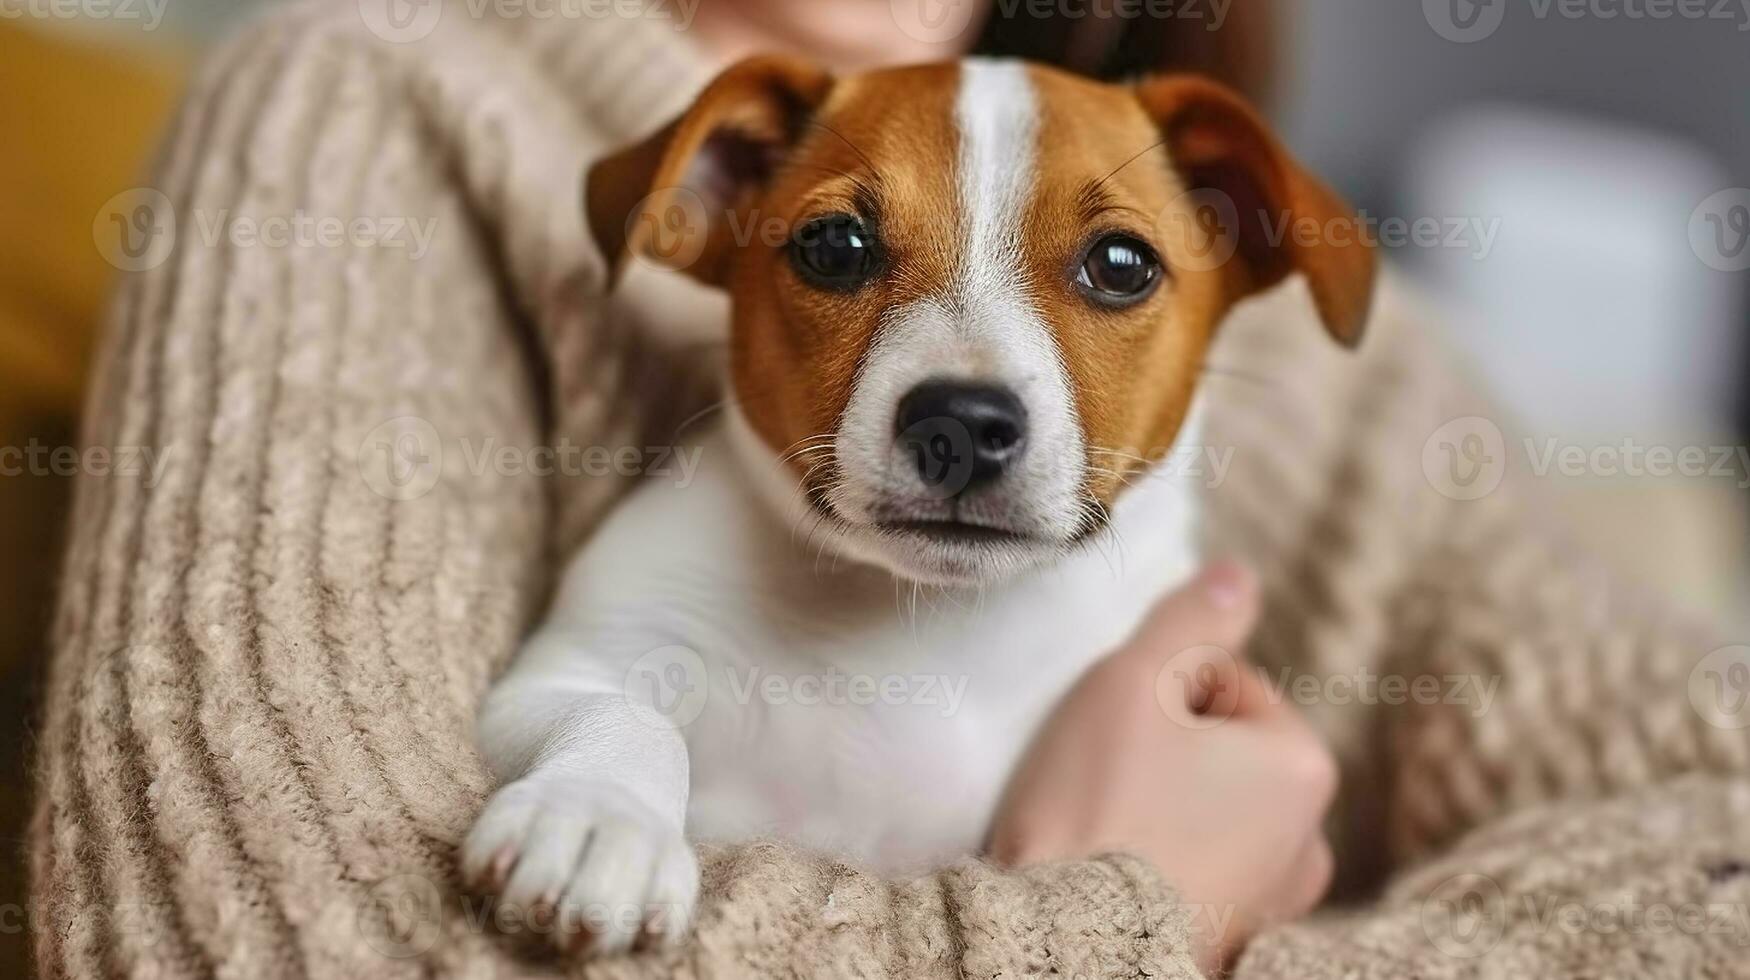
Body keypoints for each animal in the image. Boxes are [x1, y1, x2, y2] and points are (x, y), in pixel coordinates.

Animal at [465, 55, 1379, 959]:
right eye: (835, 246)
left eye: (1122, 264)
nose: (963, 424)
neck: (927, 623)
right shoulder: (560, 674)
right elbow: (623, 713)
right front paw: (598, 818)